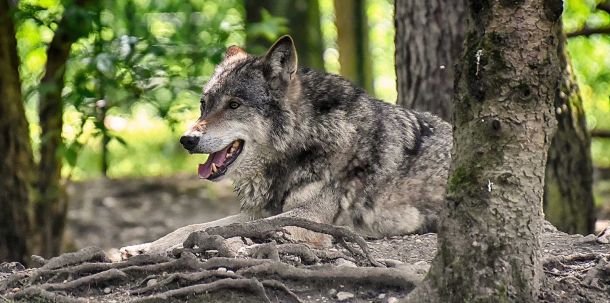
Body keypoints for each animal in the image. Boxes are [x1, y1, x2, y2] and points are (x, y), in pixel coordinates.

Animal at [120, 35, 452, 258]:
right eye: (204, 104)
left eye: (234, 105)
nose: (187, 140)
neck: (303, 143)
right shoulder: (262, 210)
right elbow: (191, 227)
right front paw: (143, 247)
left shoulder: (308, 220)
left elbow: (238, 231)